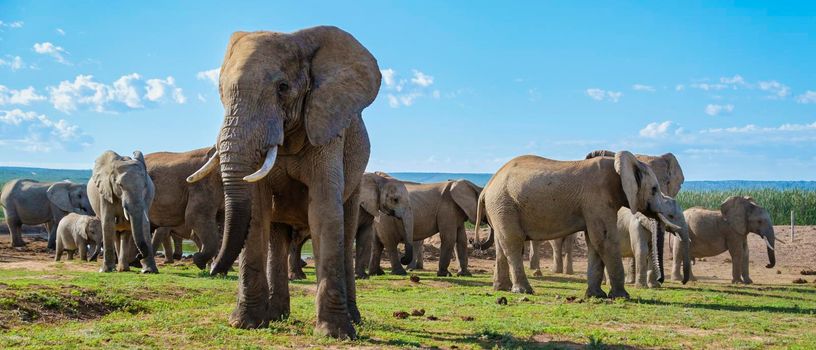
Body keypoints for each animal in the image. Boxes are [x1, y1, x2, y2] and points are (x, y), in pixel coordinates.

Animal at [186, 26, 380, 338]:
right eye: (221, 92)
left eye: (283, 88)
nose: (211, 268)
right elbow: (257, 211)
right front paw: (245, 323)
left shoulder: (327, 128)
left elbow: (325, 211)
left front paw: (335, 333)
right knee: (277, 235)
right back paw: (276, 316)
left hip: (358, 177)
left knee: (347, 226)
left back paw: (355, 319)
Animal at [474, 150, 692, 298]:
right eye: (654, 189)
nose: (662, 280)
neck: (619, 165)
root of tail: (486, 187)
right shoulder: (597, 198)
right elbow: (604, 239)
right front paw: (622, 297)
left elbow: (594, 242)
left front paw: (597, 296)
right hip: (504, 203)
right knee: (513, 242)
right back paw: (524, 291)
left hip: (500, 208)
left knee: (502, 245)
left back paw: (501, 288)